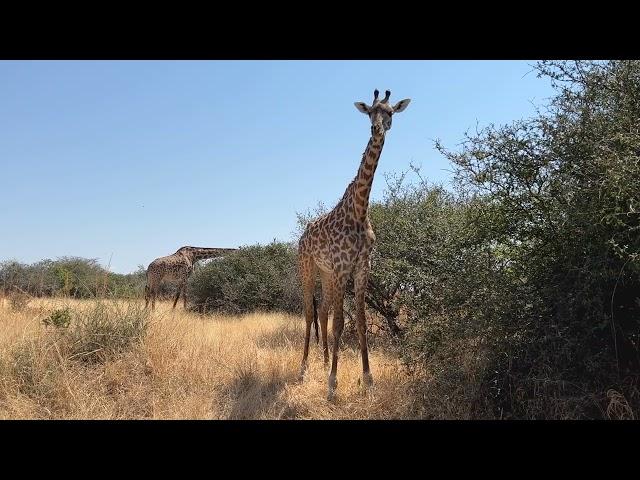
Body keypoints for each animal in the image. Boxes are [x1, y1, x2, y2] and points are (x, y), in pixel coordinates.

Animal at [298, 89, 412, 398]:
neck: (360, 210)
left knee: (323, 311)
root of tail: (302, 235)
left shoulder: (362, 267)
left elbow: (359, 322)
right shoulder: (341, 267)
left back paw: (325, 361)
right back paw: (303, 369)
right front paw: (332, 385)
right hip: (309, 267)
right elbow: (340, 323)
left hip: (326, 273)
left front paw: (368, 380)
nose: (376, 128)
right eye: (370, 111)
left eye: (390, 112)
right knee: (310, 313)